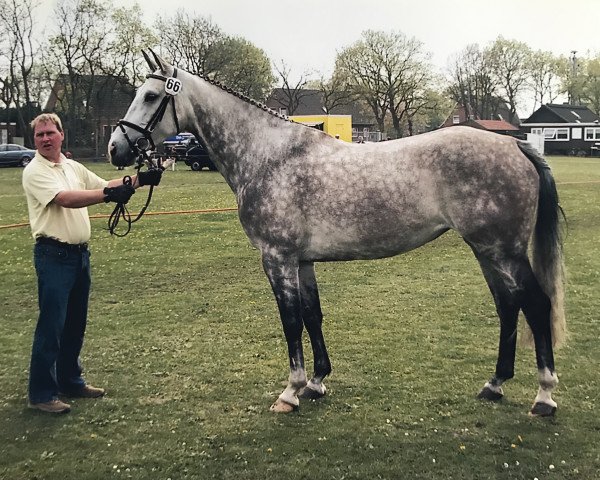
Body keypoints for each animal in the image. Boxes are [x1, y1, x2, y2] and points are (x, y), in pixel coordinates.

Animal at [109, 49, 568, 416]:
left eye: (150, 96)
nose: (117, 148)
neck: (269, 156)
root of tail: (515, 145)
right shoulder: (303, 261)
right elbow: (313, 315)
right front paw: (316, 382)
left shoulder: (276, 258)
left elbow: (290, 319)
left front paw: (290, 391)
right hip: (487, 250)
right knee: (508, 306)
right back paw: (495, 385)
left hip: (502, 250)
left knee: (535, 304)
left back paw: (544, 397)